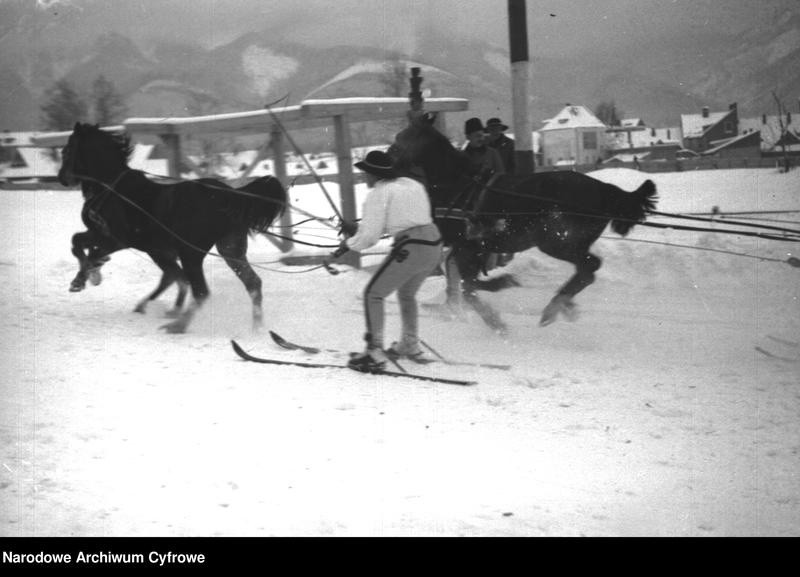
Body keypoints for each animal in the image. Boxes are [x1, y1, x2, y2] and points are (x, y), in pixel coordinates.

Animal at [61, 124, 290, 336]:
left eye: (67, 149)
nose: (62, 177)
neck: (111, 188)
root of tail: (230, 195)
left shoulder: (115, 239)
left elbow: (81, 246)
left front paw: (83, 278)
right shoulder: (111, 238)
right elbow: (81, 245)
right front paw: (89, 274)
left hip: (190, 254)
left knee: (199, 290)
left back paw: (178, 325)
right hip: (229, 250)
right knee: (252, 284)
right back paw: (256, 328)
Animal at [388, 119, 656, 330]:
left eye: (402, 138)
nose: (386, 159)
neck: (460, 185)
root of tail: (601, 188)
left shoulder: (469, 247)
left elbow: (469, 285)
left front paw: (496, 315)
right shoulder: (468, 247)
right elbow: (462, 280)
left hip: (555, 242)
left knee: (589, 267)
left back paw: (554, 306)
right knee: (586, 271)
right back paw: (564, 305)